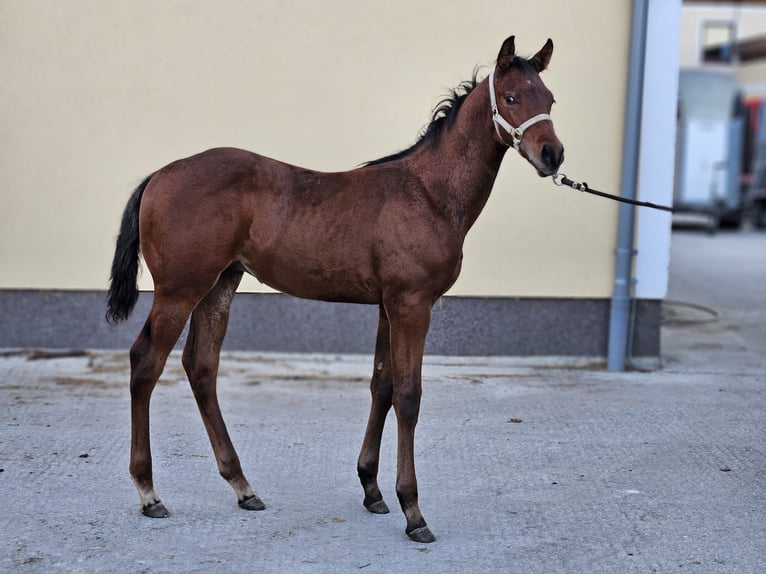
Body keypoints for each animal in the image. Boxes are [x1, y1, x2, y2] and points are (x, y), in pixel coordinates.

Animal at [106, 35, 564, 543]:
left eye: (549, 99)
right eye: (511, 97)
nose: (552, 155)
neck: (428, 193)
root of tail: (159, 175)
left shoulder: (388, 305)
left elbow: (382, 385)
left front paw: (372, 489)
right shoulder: (412, 305)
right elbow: (408, 396)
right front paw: (413, 511)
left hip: (220, 284)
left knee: (201, 366)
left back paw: (243, 486)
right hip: (179, 289)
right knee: (146, 363)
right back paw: (149, 492)